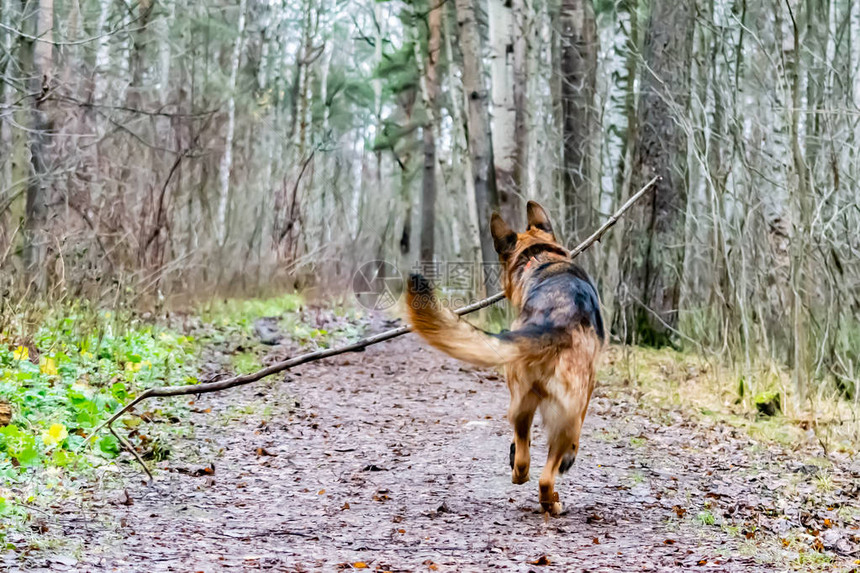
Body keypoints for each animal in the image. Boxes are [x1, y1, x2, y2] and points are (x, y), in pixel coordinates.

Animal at [404, 200, 600, 512]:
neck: (539, 258)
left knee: (522, 457)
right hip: (564, 411)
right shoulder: (587, 391)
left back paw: (520, 471)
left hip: (519, 401)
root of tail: (550, 323)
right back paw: (553, 502)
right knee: (547, 474)